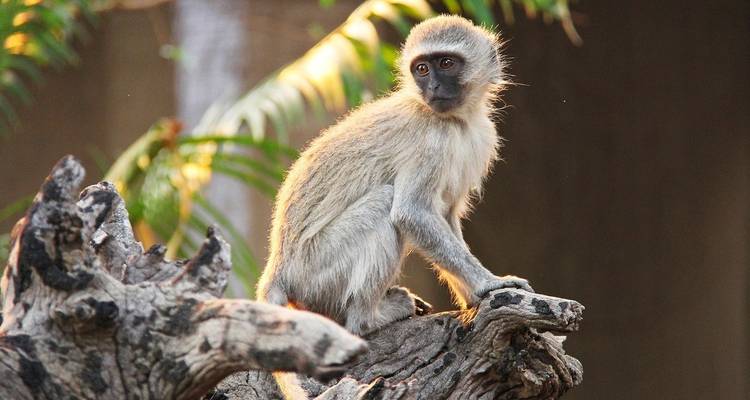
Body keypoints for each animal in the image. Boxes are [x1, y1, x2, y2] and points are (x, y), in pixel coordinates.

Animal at [257, 15, 532, 336]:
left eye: (446, 63)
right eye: (422, 69)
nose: (433, 85)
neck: (456, 122)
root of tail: (279, 269)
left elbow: (446, 214)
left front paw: (471, 296)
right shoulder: (431, 142)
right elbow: (410, 213)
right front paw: (488, 284)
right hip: (317, 273)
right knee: (383, 204)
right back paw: (369, 318)